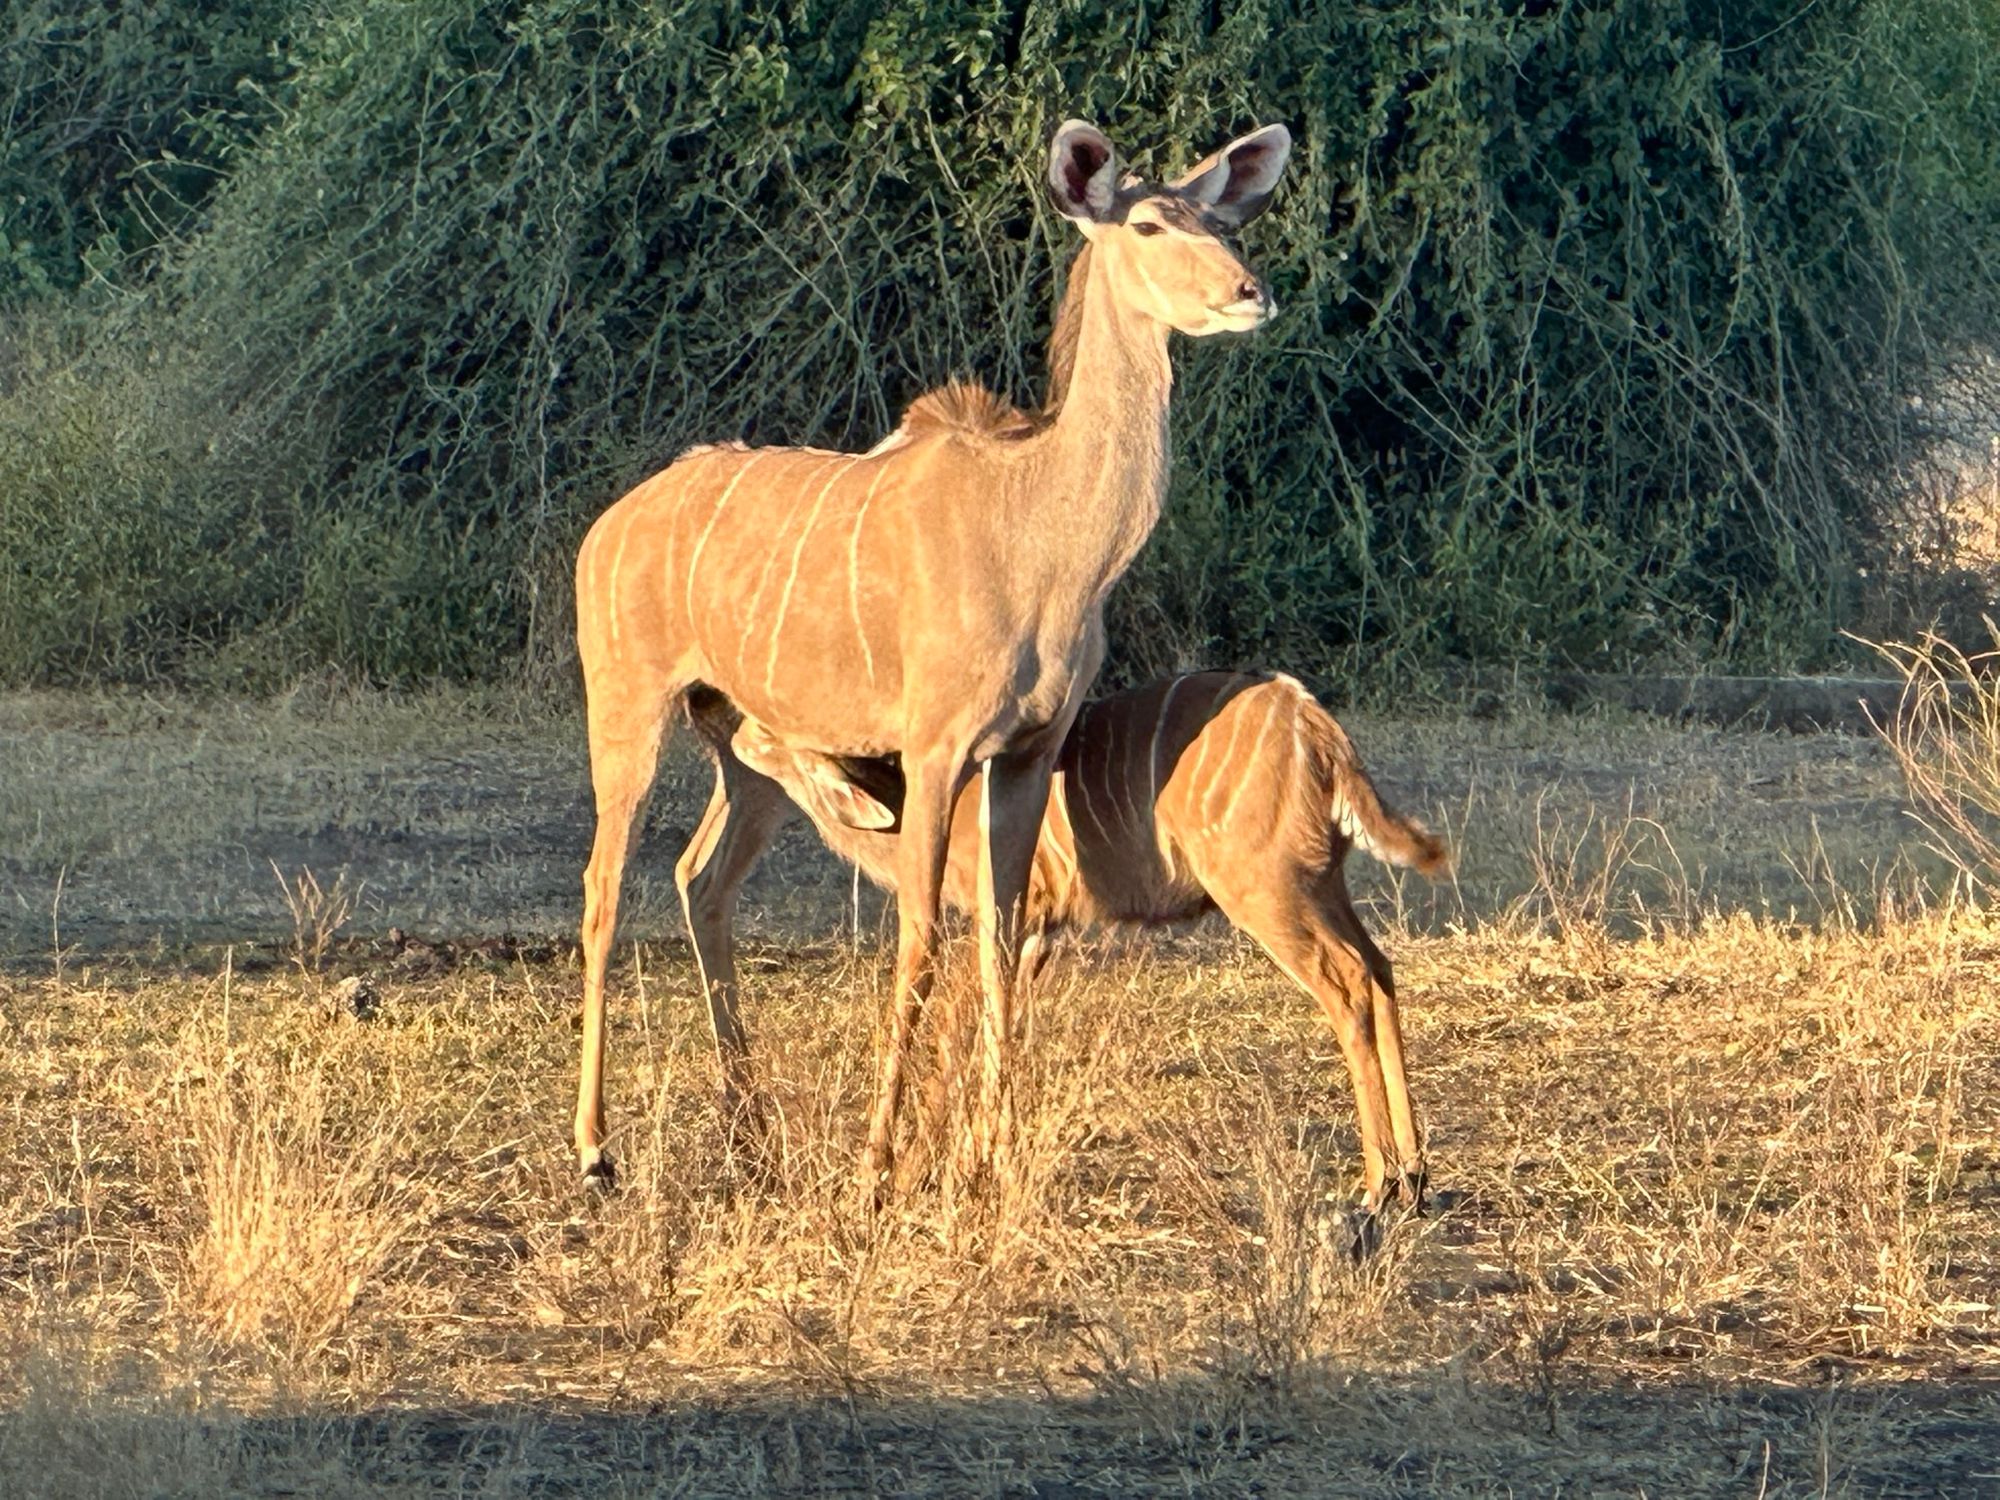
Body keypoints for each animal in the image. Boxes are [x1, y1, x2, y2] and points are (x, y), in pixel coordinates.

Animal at [700, 676, 1440, 1216]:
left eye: (768, 728)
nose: (722, 721)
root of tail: (1318, 732)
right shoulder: (1038, 929)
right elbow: (995, 1029)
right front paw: (961, 1168)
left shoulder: (1007, 912)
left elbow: (962, 1031)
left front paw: (921, 1178)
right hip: (1321, 882)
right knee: (1379, 969)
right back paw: (1415, 1175)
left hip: (1265, 889)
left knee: (1347, 984)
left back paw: (1377, 1185)